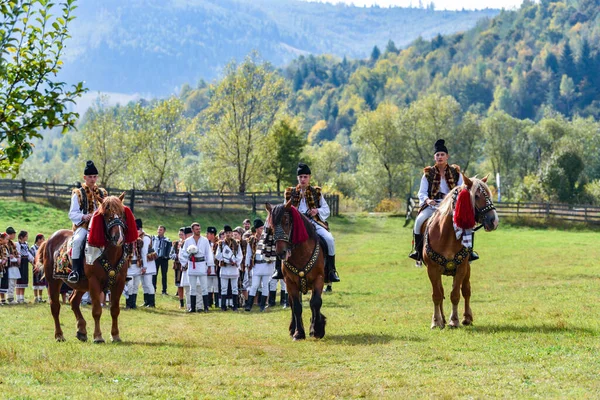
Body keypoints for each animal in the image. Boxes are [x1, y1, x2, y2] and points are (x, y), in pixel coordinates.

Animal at [34, 195, 136, 344]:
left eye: (122, 214)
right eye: (106, 215)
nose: (119, 238)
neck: (109, 253)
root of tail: (49, 240)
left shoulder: (119, 282)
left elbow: (115, 309)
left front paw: (115, 335)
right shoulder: (94, 282)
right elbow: (97, 310)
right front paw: (98, 336)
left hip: (81, 285)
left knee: (73, 301)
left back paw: (81, 330)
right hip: (54, 282)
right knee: (55, 306)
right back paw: (59, 335)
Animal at [266, 202, 326, 340]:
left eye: (287, 222)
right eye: (272, 226)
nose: (281, 252)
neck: (301, 253)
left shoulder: (319, 279)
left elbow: (316, 302)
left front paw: (317, 329)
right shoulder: (290, 283)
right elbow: (297, 306)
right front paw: (298, 333)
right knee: (293, 304)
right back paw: (293, 328)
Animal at [420, 174, 500, 328]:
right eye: (476, 196)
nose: (494, 221)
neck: (446, 235)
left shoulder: (461, 268)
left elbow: (456, 294)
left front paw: (454, 320)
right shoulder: (432, 269)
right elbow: (437, 295)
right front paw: (436, 321)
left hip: (467, 269)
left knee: (466, 291)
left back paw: (467, 318)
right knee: (441, 292)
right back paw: (442, 319)